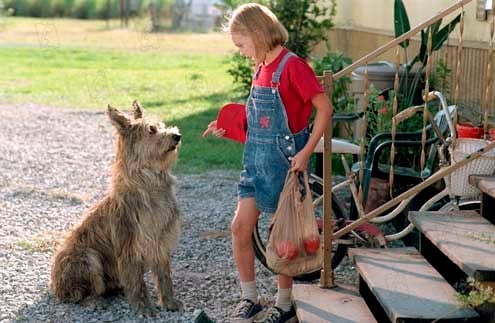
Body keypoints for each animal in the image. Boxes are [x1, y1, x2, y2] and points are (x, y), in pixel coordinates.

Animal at [50, 102, 183, 316]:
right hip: (87, 257)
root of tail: (55, 286)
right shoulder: (130, 245)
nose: (177, 135)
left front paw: (170, 302)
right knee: (79, 294)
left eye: (162, 125)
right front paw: (143, 307)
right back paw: (94, 301)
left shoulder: (160, 242)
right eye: (151, 129)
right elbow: (137, 283)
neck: (150, 185)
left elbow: (164, 278)